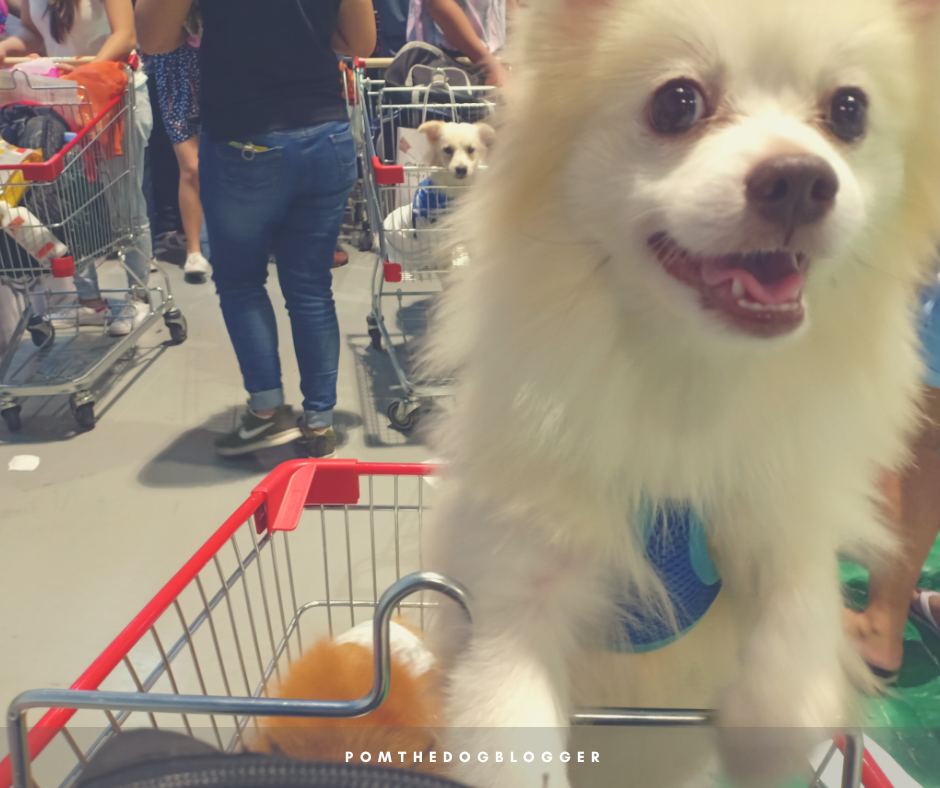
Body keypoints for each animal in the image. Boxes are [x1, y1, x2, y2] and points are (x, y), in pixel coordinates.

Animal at [420, 1, 940, 787]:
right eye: (677, 103)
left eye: (849, 111)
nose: (799, 179)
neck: (689, 373)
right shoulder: (518, 585)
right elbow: (510, 725)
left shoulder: (777, 513)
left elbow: (799, 623)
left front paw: (764, 734)